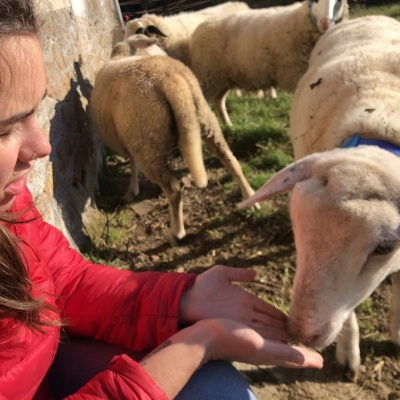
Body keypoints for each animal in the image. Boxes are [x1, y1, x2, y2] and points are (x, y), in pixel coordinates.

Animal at [91, 35, 258, 244]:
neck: (121, 55)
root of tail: (170, 80)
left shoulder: (129, 139)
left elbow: (132, 164)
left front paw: (131, 191)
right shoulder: (129, 137)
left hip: (147, 142)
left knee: (173, 189)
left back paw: (176, 233)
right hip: (204, 118)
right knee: (231, 160)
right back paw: (250, 197)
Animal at [189, 0, 348, 126]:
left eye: (338, 1)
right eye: (315, 1)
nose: (325, 23)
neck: (299, 20)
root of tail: (199, 28)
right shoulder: (295, 76)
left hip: (222, 78)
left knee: (219, 101)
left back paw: (228, 124)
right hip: (208, 76)